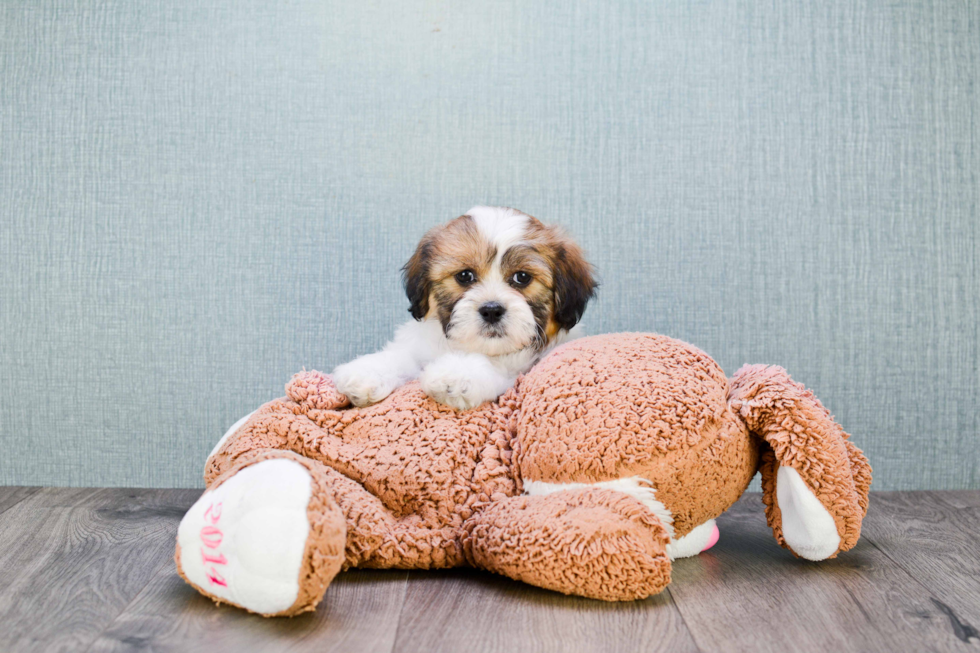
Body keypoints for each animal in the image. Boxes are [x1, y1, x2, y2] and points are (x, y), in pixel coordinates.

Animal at [334, 205, 596, 408]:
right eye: (464, 276)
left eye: (522, 277)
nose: (492, 310)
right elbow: (402, 356)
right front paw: (366, 372)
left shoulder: (520, 368)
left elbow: (496, 365)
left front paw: (455, 375)